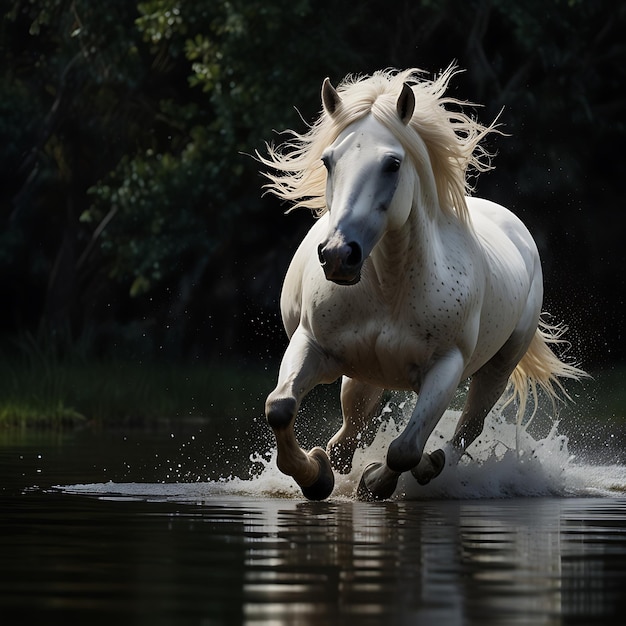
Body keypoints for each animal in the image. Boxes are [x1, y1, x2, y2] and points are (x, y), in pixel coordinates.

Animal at [256, 67, 584, 498]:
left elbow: (405, 450)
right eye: (328, 161)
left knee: (465, 430)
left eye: (392, 164)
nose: (339, 254)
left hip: (497, 366)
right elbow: (279, 407)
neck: (389, 289)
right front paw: (315, 476)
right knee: (349, 431)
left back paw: (431, 466)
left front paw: (373, 482)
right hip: (363, 372)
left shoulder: (445, 369)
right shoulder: (311, 344)